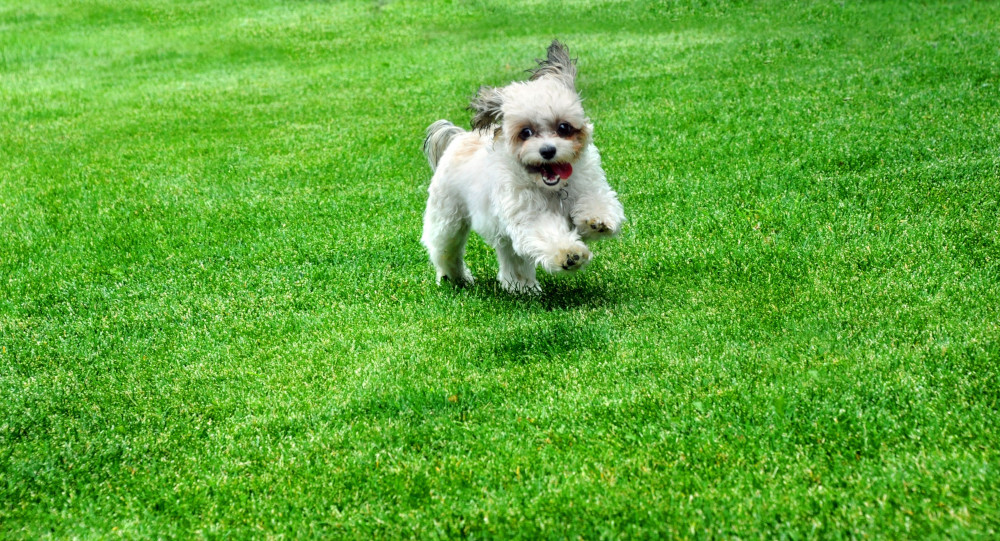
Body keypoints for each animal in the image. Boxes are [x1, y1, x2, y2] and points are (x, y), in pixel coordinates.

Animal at [422, 41, 624, 296]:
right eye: (525, 132)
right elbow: (545, 231)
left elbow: (597, 203)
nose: (547, 150)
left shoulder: (589, 185)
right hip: (448, 217)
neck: (552, 189)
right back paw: (454, 277)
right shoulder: (527, 214)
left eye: (563, 127)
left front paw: (596, 221)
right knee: (445, 249)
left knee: (512, 256)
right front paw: (570, 255)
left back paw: (520, 287)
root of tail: (458, 137)